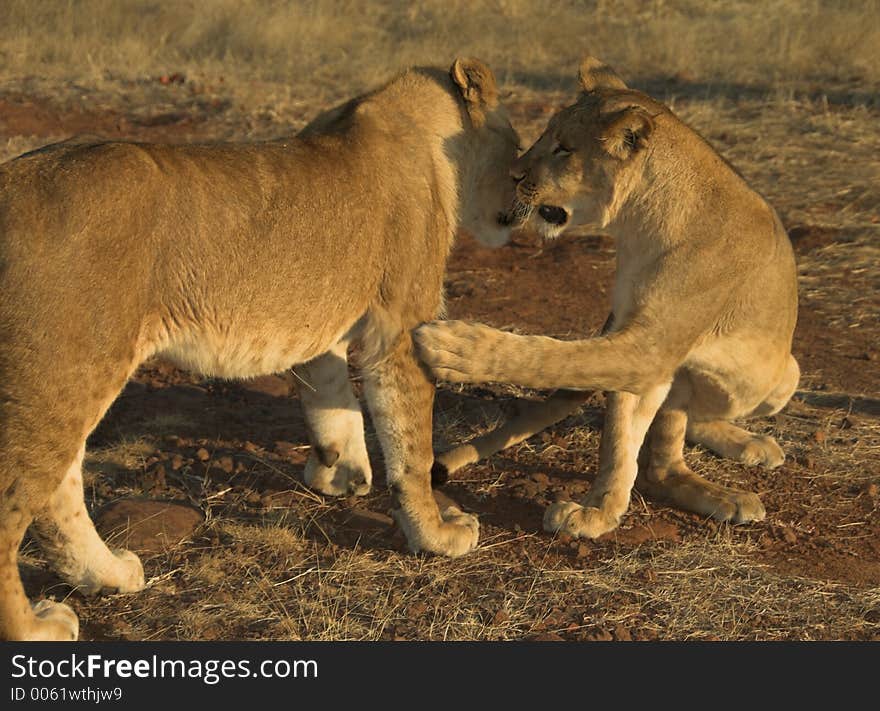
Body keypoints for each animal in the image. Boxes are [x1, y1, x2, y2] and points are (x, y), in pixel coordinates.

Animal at [1, 58, 524, 644]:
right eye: (520, 150)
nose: (529, 202)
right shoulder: (399, 326)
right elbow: (413, 446)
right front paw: (436, 533)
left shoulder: (323, 325)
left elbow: (331, 403)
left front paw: (339, 474)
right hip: (67, 367)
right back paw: (34, 628)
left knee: (60, 489)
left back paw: (109, 575)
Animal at [416, 55, 800, 544]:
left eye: (563, 148)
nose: (515, 175)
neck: (641, 224)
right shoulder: (631, 334)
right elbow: (620, 437)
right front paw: (599, 511)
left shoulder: (649, 347)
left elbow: (553, 358)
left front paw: (455, 346)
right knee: (666, 458)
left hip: (785, 375)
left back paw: (743, 457)